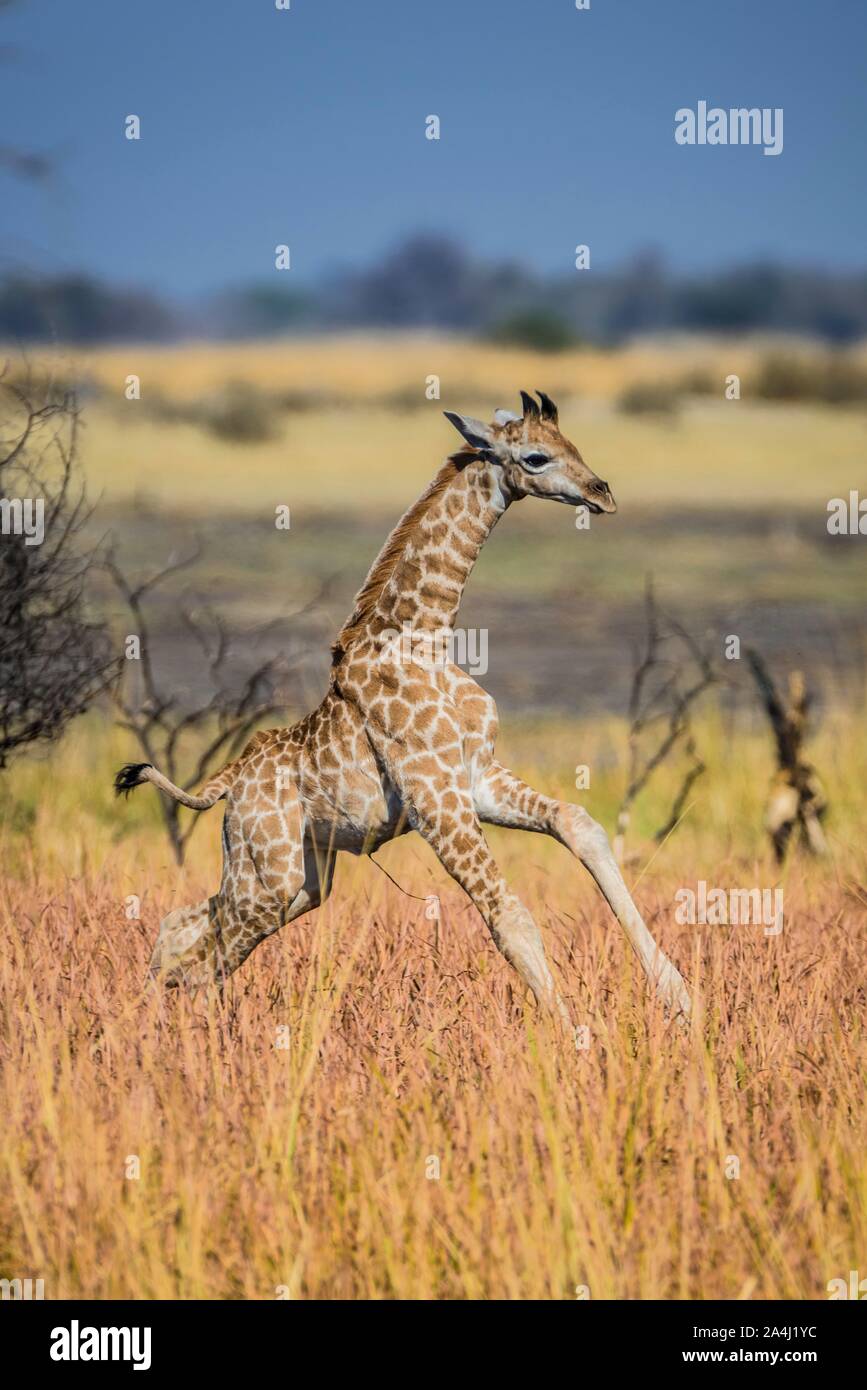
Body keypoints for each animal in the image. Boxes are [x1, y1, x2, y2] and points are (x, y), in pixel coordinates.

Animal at [118, 389, 694, 1023]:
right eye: (536, 457)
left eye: (572, 444)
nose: (601, 493)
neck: (425, 638)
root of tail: (229, 781)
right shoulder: (434, 798)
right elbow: (510, 916)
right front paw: (574, 1039)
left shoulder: (474, 777)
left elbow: (580, 824)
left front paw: (680, 997)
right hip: (269, 874)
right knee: (202, 953)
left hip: (301, 879)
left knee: (184, 929)